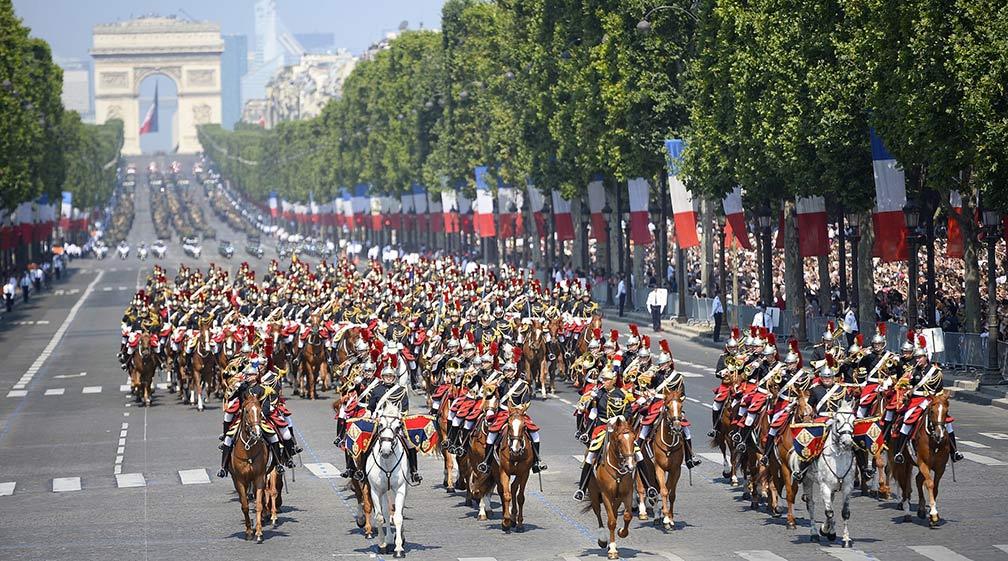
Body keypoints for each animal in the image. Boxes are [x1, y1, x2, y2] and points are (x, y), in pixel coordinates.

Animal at [230, 390, 270, 539]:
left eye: (260, 411)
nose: (257, 433)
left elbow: (258, 504)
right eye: (246, 411)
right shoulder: (239, 480)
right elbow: (245, 505)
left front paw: (258, 531)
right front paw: (248, 531)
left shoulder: (259, 477)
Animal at [366, 408, 409, 555]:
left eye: (398, 427)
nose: (385, 451)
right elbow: (380, 517)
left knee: (399, 511)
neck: (387, 461)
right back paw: (389, 539)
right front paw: (382, 545)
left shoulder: (401, 488)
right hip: (384, 491)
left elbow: (398, 516)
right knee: (385, 510)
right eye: (380, 425)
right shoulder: (375, 490)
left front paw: (399, 548)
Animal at [584, 416, 637, 555]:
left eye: (634, 438)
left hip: (616, 498)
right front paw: (612, 549)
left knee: (613, 512)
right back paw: (602, 539)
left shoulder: (627, 493)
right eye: (619, 441)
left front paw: (622, 532)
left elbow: (627, 516)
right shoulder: (606, 495)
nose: (630, 466)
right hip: (594, 492)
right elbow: (611, 521)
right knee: (598, 512)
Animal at [798, 398, 854, 547]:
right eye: (838, 420)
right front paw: (825, 530)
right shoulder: (825, 487)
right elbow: (829, 512)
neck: (838, 456)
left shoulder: (847, 487)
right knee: (811, 505)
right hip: (807, 481)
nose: (847, 442)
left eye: (854, 420)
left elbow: (844, 513)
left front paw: (846, 539)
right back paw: (814, 534)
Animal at [891, 388, 951, 523]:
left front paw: (932, 513)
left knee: (917, 480)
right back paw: (907, 512)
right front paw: (933, 514)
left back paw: (921, 510)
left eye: (946, 412)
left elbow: (935, 487)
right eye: (932, 411)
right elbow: (929, 484)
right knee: (905, 486)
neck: (934, 442)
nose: (939, 435)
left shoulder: (940, 467)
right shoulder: (924, 463)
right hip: (903, 463)